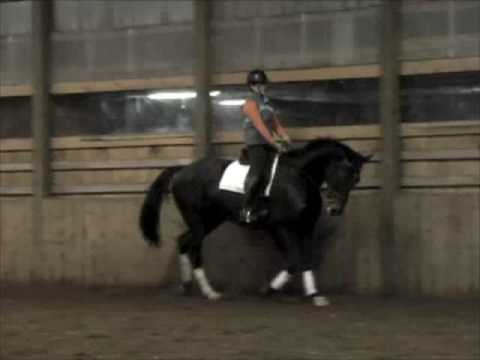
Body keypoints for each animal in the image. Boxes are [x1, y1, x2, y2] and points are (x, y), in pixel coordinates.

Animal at [140, 138, 372, 306]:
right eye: (343, 172)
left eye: (356, 179)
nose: (335, 210)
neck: (300, 178)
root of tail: (181, 171)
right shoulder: (280, 227)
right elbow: (293, 261)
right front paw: (268, 290)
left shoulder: (306, 228)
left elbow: (307, 260)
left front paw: (315, 295)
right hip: (198, 220)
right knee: (192, 246)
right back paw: (210, 292)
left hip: (210, 220)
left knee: (184, 241)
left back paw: (188, 286)